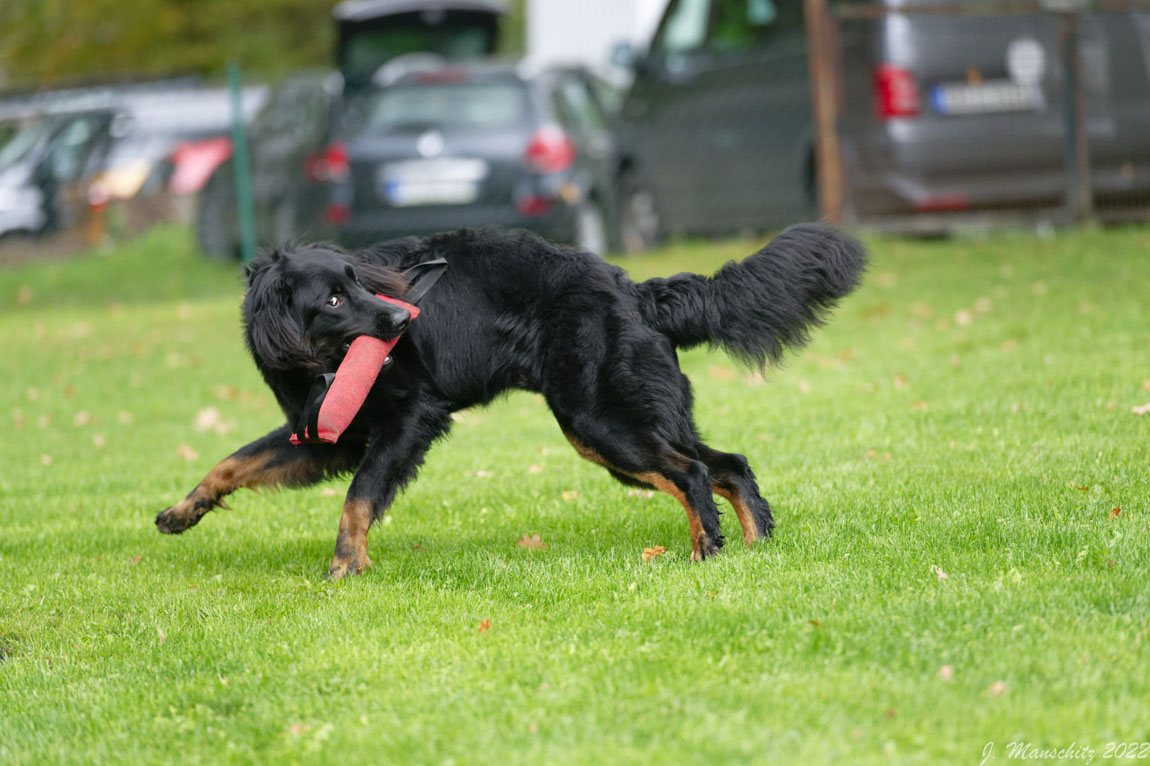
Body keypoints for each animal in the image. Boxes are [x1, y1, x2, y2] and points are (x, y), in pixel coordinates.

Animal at [157, 224, 864, 575]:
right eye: (333, 297)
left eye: (359, 282)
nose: (403, 317)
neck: (322, 362)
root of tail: (632, 290)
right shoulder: (328, 437)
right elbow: (233, 461)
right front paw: (183, 511)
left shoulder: (408, 422)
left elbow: (358, 498)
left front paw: (344, 566)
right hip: (630, 424)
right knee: (729, 466)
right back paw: (753, 546)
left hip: (601, 424)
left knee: (691, 472)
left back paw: (703, 552)